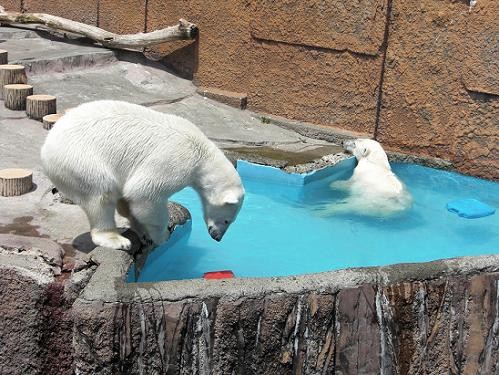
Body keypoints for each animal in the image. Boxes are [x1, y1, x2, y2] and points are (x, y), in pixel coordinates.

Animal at [40, 101, 244, 251]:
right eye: (228, 220)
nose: (218, 237)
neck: (203, 153)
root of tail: (46, 148)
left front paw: (144, 232)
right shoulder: (177, 159)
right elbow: (145, 193)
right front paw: (162, 235)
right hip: (79, 159)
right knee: (101, 194)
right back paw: (116, 240)